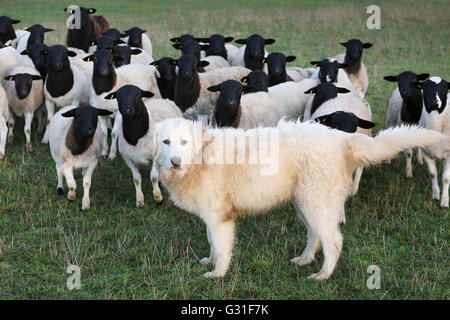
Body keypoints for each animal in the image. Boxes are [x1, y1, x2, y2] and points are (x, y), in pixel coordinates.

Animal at [150, 117, 446, 278]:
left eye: (184, 142)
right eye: (166, 142)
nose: (175, 162)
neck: (201, 156)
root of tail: (342, 140)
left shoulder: (219, 218)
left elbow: (222, 248)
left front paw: (217, 274)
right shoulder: (213, 218)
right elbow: (213, 243)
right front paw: (210, 262)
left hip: (316, 203)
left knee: (333, 241)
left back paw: (323, 275)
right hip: (306, 203)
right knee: (315, 237)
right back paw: (304, 260)